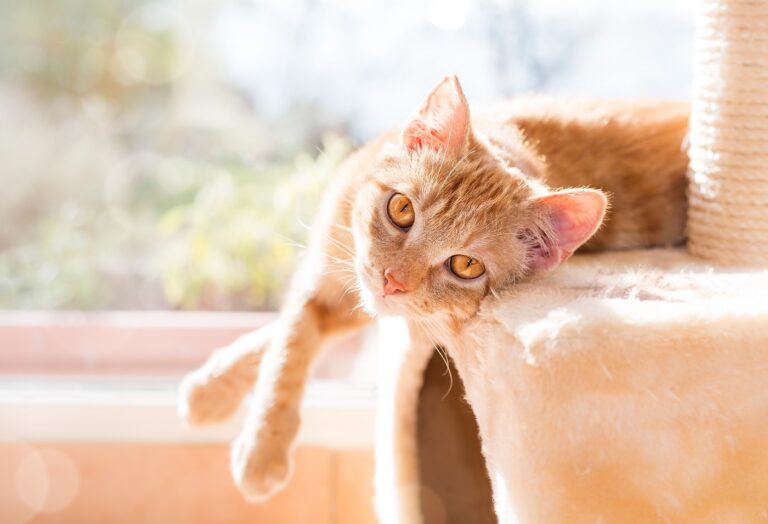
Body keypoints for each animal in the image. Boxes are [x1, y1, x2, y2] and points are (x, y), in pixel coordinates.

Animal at [178, 73, 688, 500]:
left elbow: (291, 337)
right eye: (402, 209)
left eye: (464, 265)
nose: (393, 280)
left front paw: (258, 451)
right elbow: (288, 339)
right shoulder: (330, 278)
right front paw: (221, 395)